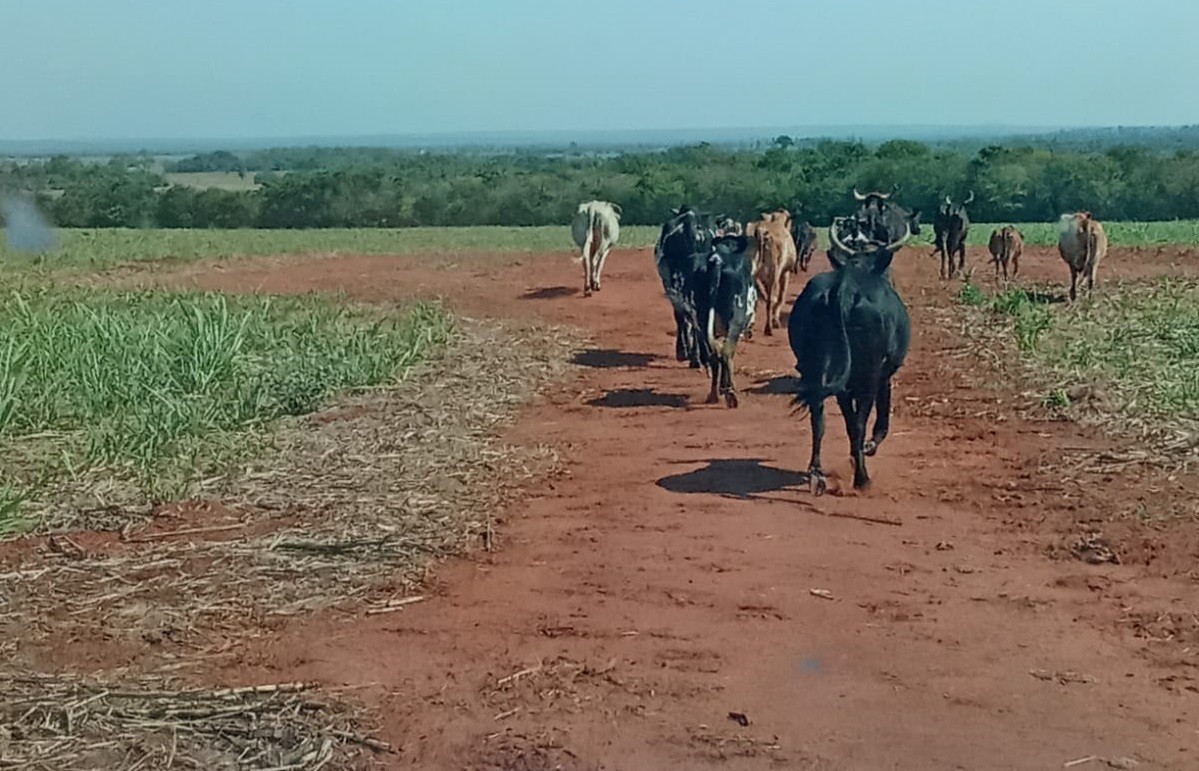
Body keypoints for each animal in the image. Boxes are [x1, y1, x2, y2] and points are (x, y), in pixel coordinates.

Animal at [791, 217, 911, 494]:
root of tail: (844, 287)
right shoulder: (883, 376)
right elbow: (878, 421)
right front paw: (868, 449)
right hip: (868, 373)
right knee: (858, 423)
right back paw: (862, 479)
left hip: (819, 370)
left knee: (818, 417)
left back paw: (817, 473)